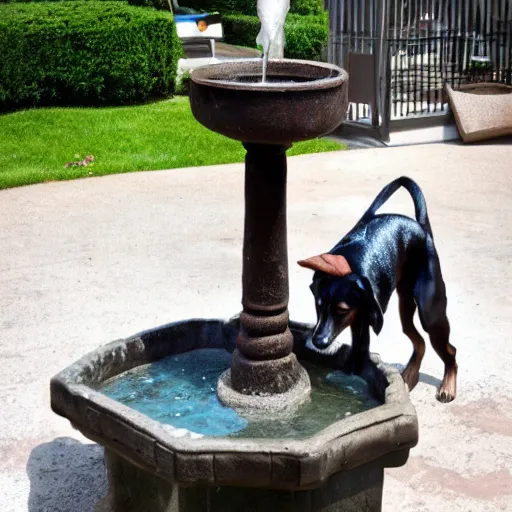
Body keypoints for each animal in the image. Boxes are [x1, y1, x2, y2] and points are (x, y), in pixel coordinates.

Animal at [298, 176, 458, 404]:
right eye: (318, 306)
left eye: (342, 310)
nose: (318, 341)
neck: (350, 264)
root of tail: (421, 227)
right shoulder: (357, 322)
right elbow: (353, 356)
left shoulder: (362, 321)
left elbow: (361, 354)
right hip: (405, 307)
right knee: (419, 342)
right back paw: (409, 377)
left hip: (430, 313)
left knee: (450, 350)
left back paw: (447, 386)